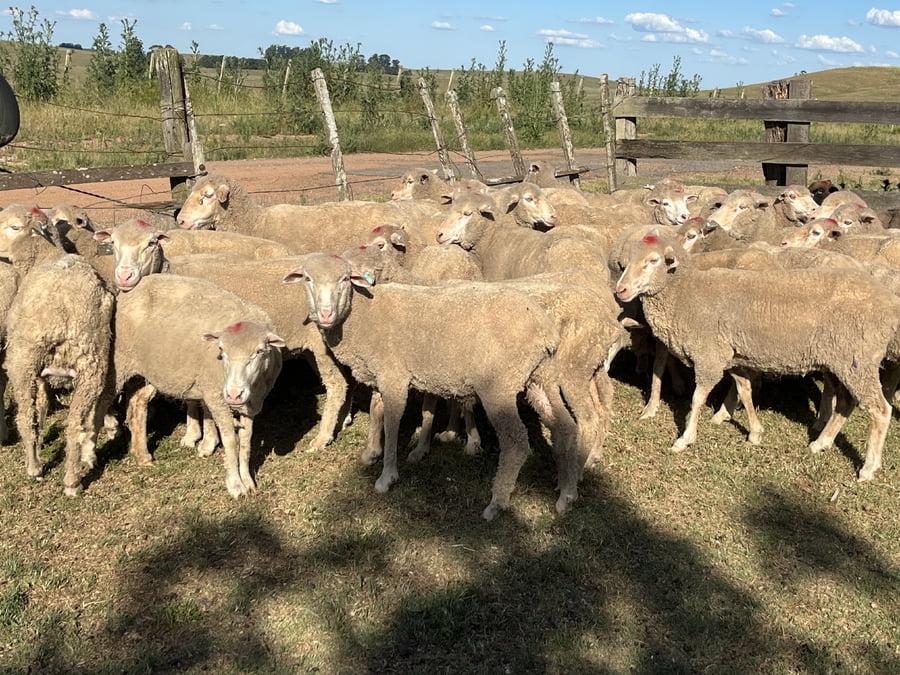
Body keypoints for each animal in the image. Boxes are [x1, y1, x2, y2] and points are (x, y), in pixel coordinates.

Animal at [0, 203, 116, 497]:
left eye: (14, 227)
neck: (47, 254)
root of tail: (60, 314)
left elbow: (37, 410)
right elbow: (42, 407)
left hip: (22, 360)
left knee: (24, 417)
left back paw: (34, 468)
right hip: (91, 365)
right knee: (75, 424)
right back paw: (72, 481)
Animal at [113, 273, 284, 496]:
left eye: (260, 351)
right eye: (221, 350)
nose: (234, 394)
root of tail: (136, 286)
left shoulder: (253, 403)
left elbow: (246, 441)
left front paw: (248, 480)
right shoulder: (216, 397)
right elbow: (231, 440)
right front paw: (235, 485)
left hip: (148, 370)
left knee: (138, 405)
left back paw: (142, 455)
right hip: (119, 362)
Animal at [283, 252, 581, 520]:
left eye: (345, 279)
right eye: (307, 279)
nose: (326, 314)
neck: (363, 316)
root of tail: (544, 328)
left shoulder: (394, 377)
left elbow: (392, 423)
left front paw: (386, 476)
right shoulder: (380, 374)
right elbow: (376, 412)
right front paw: (371, 453)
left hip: (499, 386)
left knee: (516, 443)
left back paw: (497, 503)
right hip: (540, 377)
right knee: (565, 427)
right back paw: (566, 495)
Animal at [614, 231, 900, 481]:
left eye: (653, 261)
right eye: (627, 263)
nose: (621, 290)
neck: (686, 294)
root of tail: (887, 302)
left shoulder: (709, 357)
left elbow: (697, 399)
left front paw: (685, 438)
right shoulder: (732, 356)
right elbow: (745, 390)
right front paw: (755, 432)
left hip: (857, 361)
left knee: (880, 410)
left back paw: (868, 468)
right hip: (842, 362)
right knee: (845, 403)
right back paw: (821, 443)